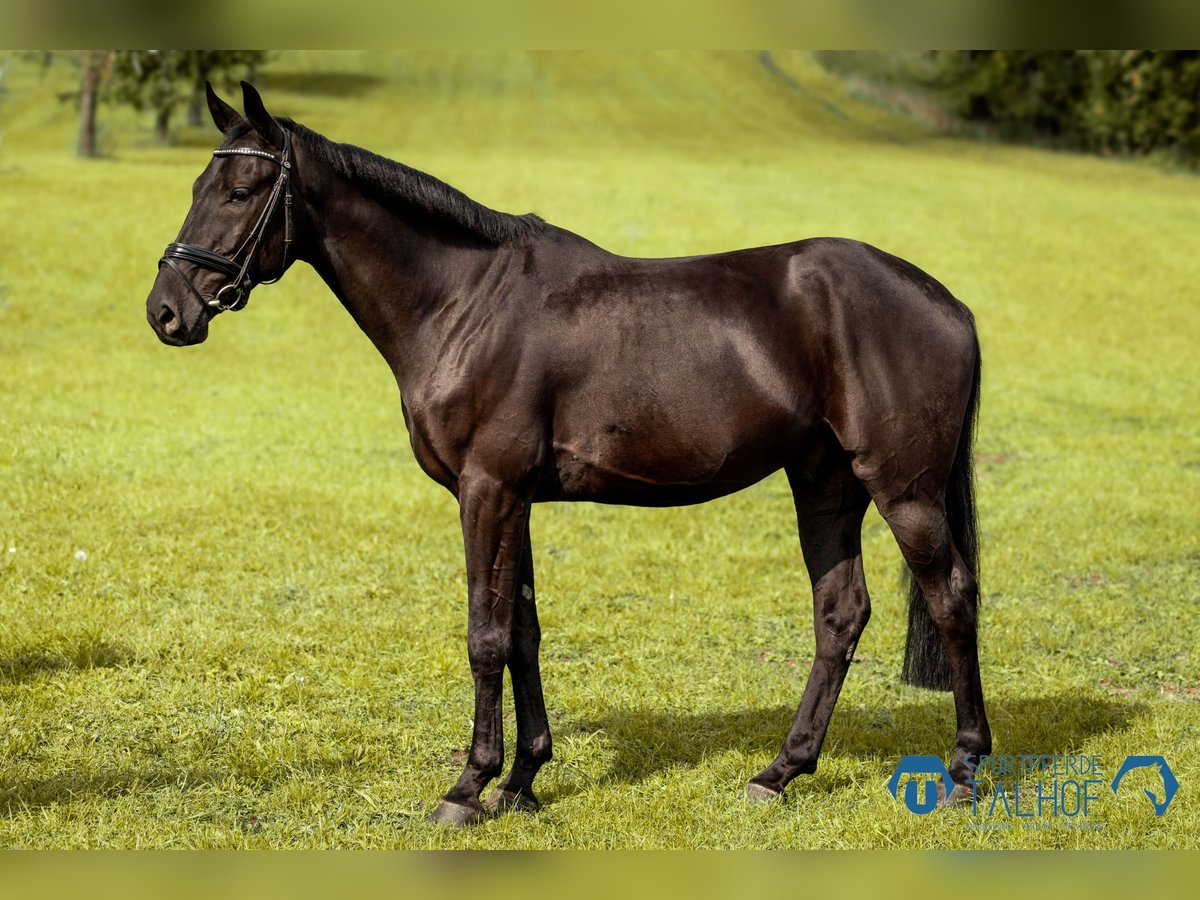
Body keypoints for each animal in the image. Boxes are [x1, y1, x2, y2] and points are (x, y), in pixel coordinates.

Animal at [145, 82, 991, 826]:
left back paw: (963, 771)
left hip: (904, 491)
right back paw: (779, 772)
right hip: (825, 483)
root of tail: (949, 303)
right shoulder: (513, 496)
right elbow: (522, 632)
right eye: (197, 183)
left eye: (244, 188)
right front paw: (522, 780)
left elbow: (484, 636)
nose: (166, 311)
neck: (465, 303)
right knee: (840, 614)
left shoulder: (487, 490)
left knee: (952, 599)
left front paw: (467, 788)